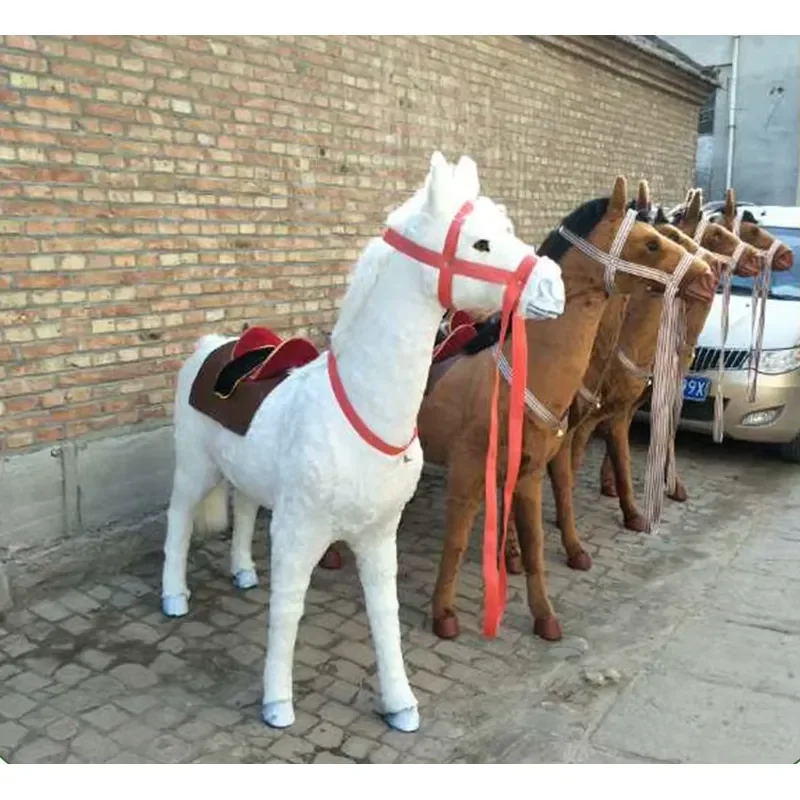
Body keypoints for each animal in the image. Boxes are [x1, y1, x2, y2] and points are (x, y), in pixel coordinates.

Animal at [159, 151, 566, 733]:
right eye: (481, 244)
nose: (554, 286)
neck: (361, 411)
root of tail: (210, 346)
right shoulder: (298, 533)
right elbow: (288, 609)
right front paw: (277, 703)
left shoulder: (378, 534)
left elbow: (384, 612)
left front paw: (400, 704)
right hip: (195, 468)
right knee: (178, 519)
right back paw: (174, 596)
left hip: (247, 474)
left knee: (244, 509)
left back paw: (242, 571)